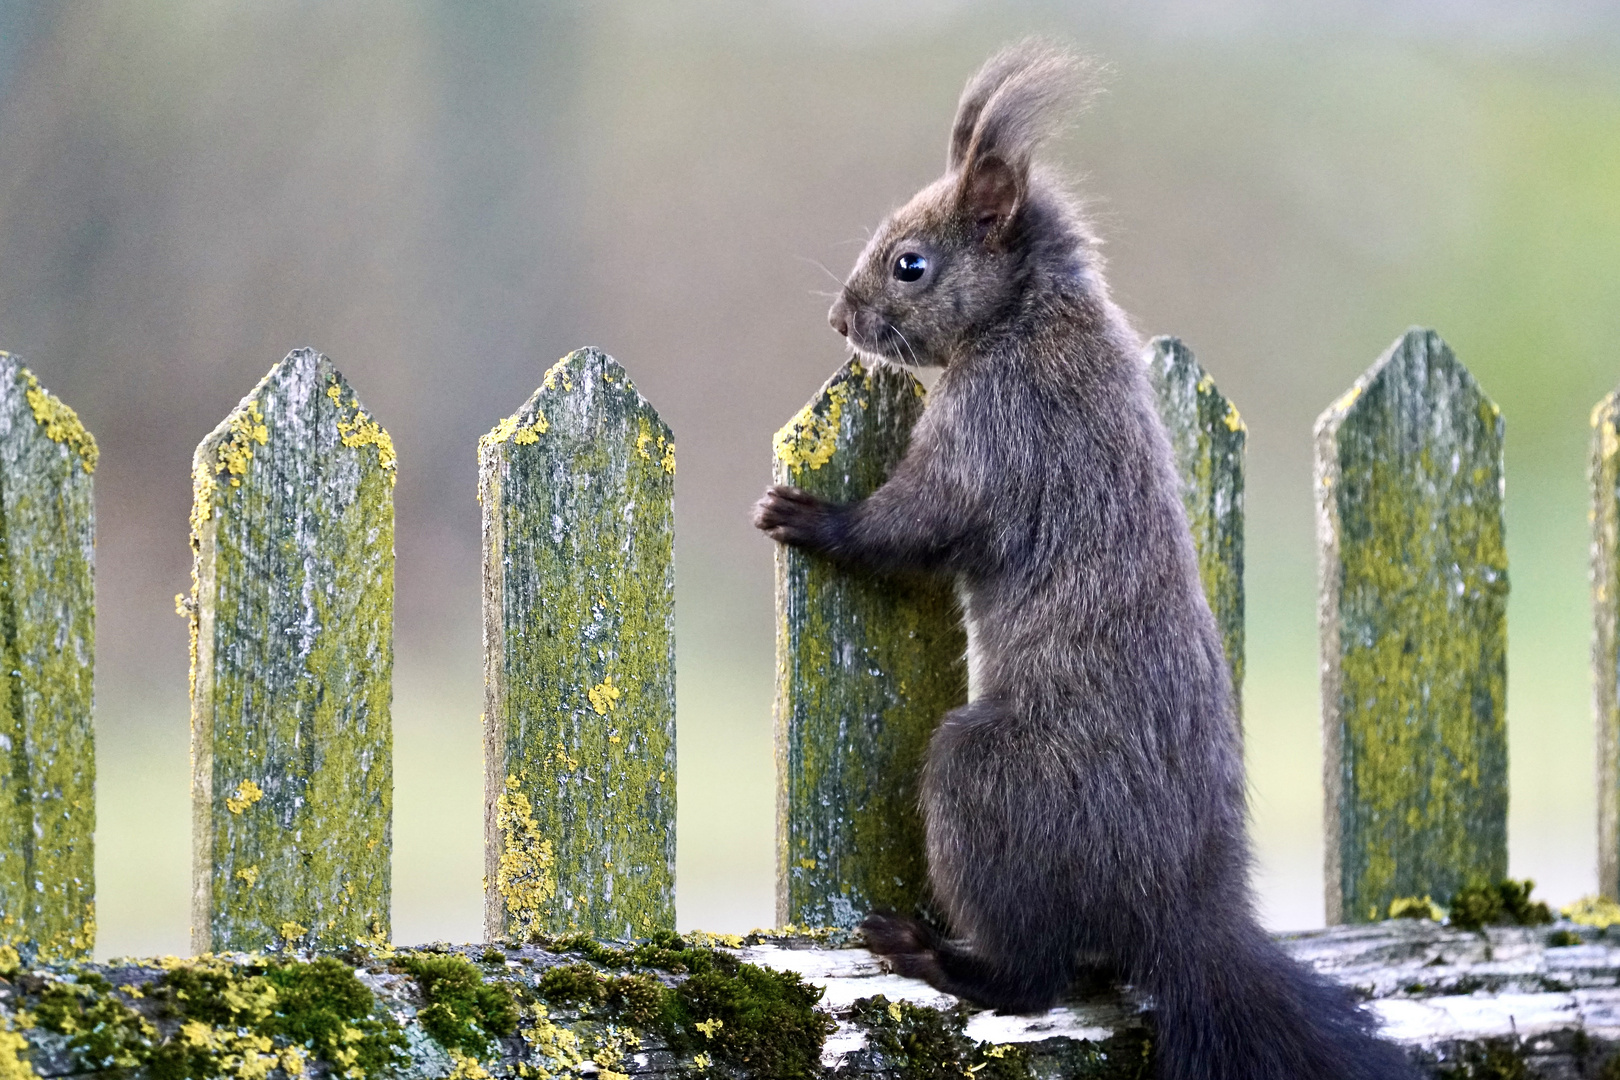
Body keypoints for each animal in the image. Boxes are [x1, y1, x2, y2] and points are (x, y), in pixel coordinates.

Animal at [748, 38, 1419, 1075]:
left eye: (911, 264)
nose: (839, 322)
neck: (1029, 314)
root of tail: (1178, 912)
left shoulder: (995, 431)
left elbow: (915, 526)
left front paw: (811, 518)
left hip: (987, 784)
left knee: (1034, 977)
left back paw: (934, 955)